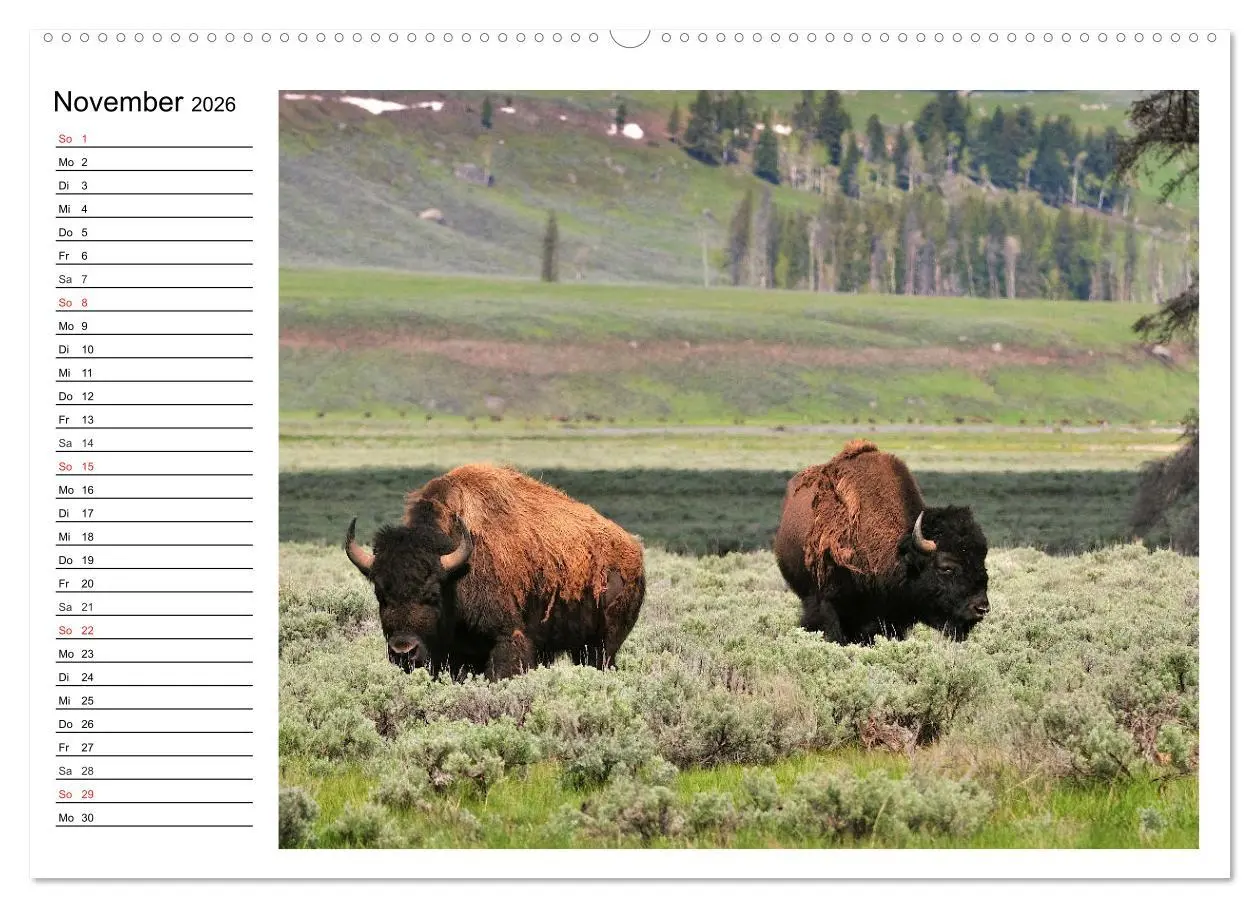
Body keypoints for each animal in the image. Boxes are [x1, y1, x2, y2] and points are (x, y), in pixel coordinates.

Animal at [344, 464, 645, 679]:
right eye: (381, 596)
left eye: (432, 595)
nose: (403, 651)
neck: (457, 574)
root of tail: (634, 550)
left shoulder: (505, 640)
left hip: (602, 645)